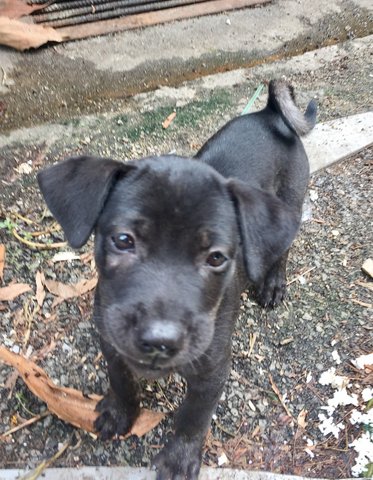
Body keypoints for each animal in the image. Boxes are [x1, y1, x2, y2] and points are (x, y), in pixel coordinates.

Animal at [37, 80, 316, 478]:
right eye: (123, 240)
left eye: (216, 258)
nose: (160, 340)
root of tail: (271, 115)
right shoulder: (112, 341)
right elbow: (121, 380)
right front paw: (120, 413)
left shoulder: (212, 372)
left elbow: (192, 418)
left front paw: (179, 458)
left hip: (292, 199)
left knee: (282, 248)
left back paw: (273, 283)